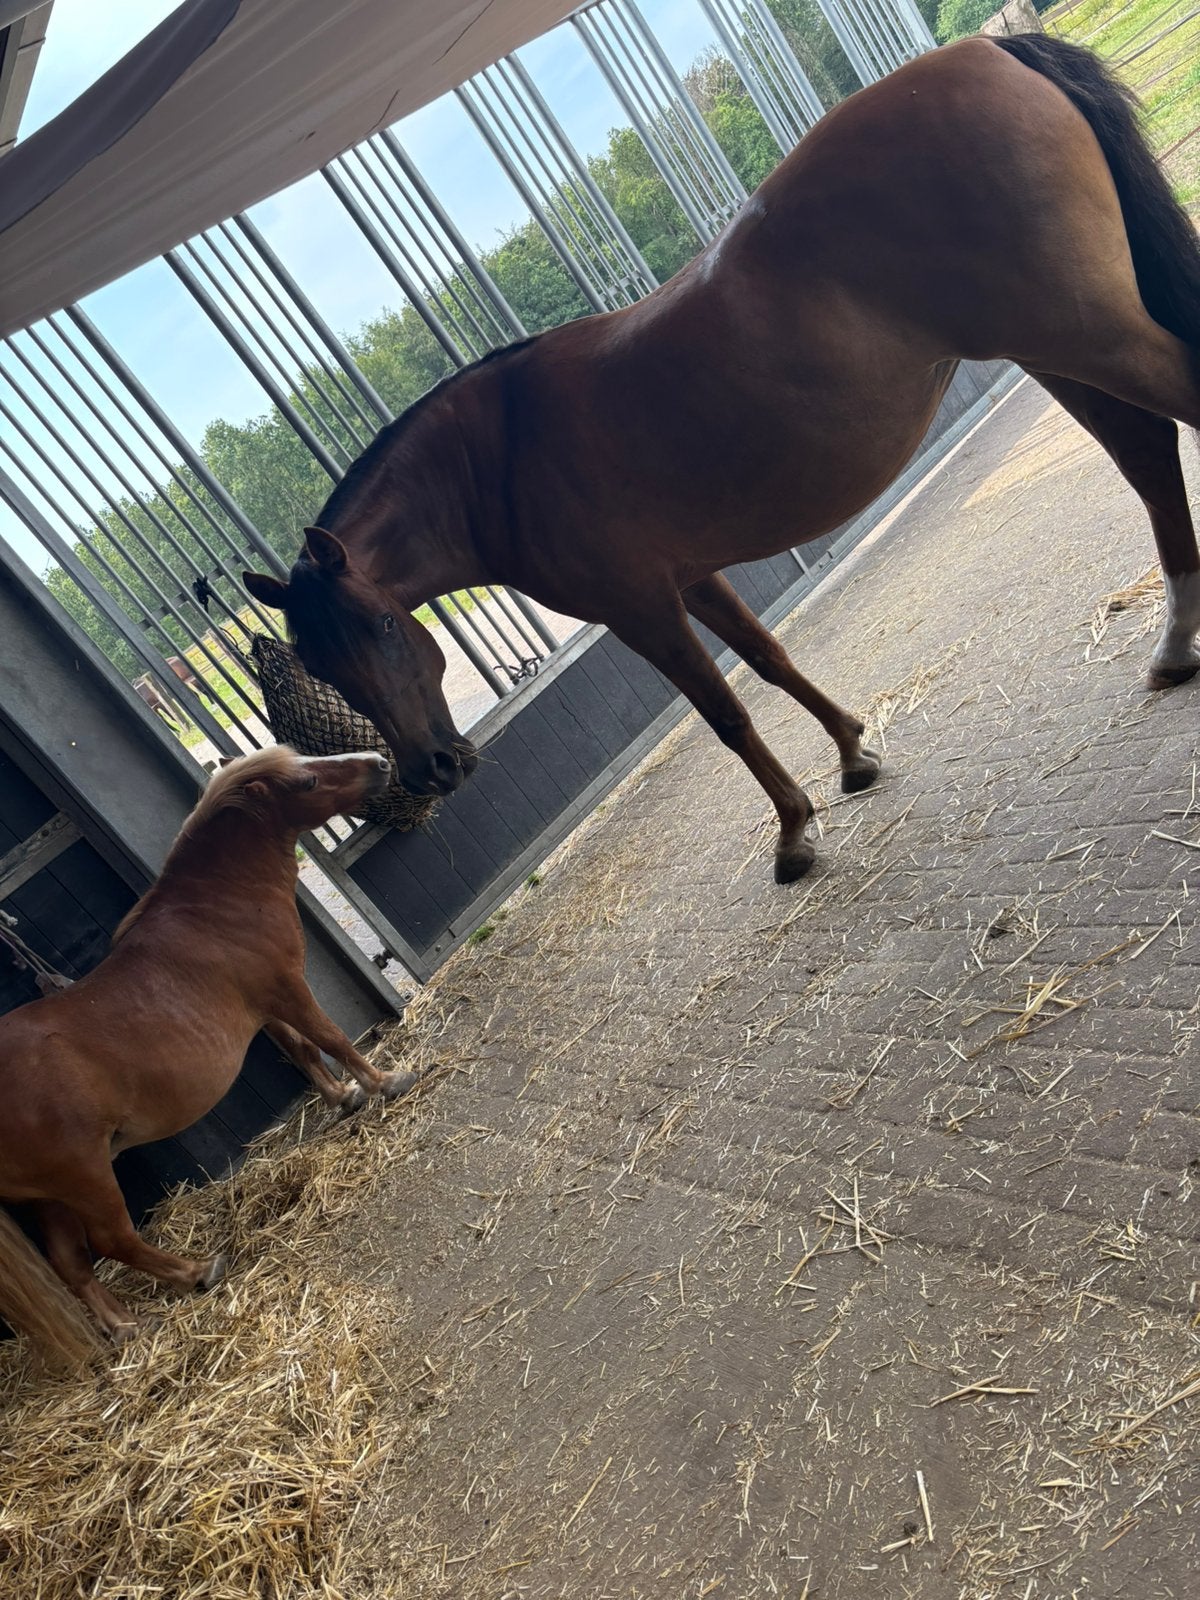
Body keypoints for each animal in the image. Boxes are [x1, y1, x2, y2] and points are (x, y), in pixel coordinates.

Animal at [0, 746, 415, 1363]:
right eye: (308, 780)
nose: (379, 762)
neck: (216, 909)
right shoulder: (287, 988)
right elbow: (331, 1038)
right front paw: (384, 1082)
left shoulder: (264, 1007)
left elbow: (301, 1050)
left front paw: (343, 1097)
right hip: (85, 1177)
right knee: (113, 1240)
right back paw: (197, 1271)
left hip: (48, 1197)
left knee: (72, 1266)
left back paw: (128, 1327)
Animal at [244, 35, 1200, 886]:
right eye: (320, 670)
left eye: (379, 626)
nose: (432, 769)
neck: (500, 456)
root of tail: (989, 50)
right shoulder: (694, 576)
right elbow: (771, 660)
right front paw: (853, 755)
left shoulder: (641, 608)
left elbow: (727, 713)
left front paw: (794, 833)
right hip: (1049, 347)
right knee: (1146, 458)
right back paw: (1174, 644)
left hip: (1086, 336)